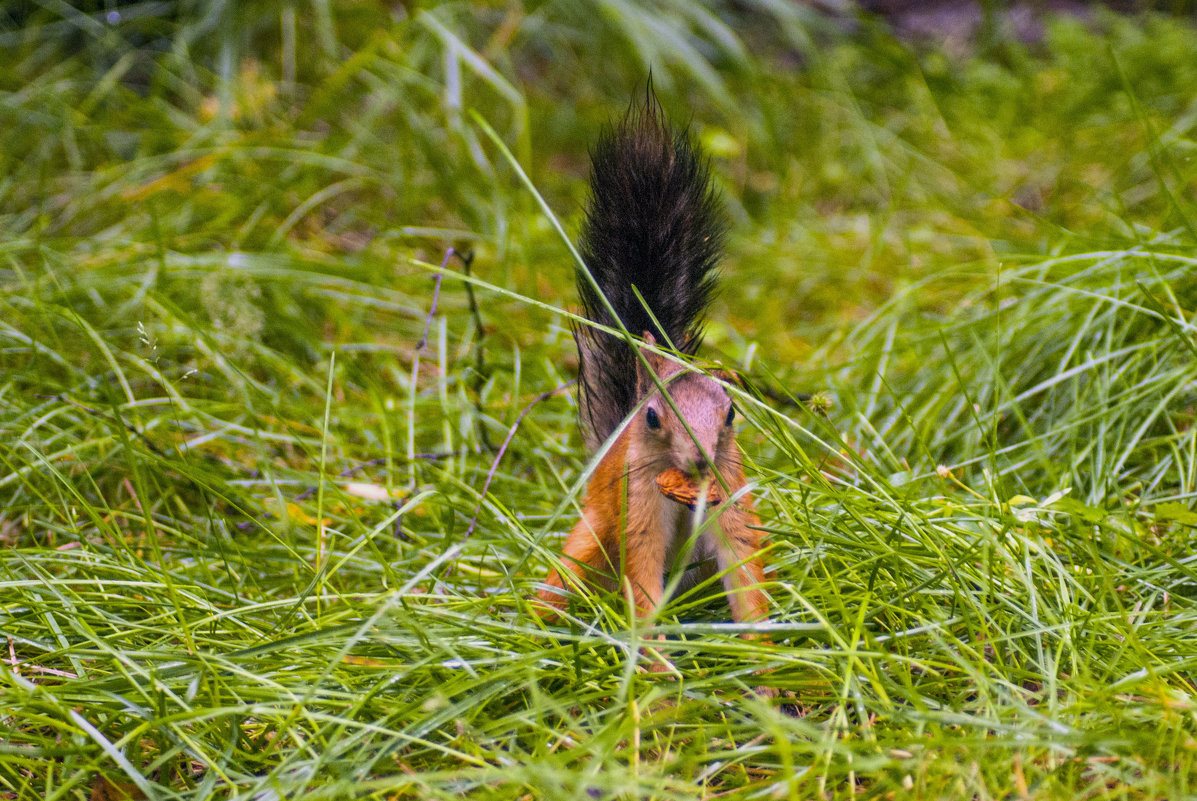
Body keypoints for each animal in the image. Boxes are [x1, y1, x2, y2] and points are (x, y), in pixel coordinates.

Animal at [538, 93, 770, 627]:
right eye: (652, 416)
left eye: (731, 413)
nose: (700, 459)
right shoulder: (638, 507)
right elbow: (641, 576)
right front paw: (650, 648)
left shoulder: (731, 499)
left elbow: (744, 568)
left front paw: (767, 644)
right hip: (589, 541)